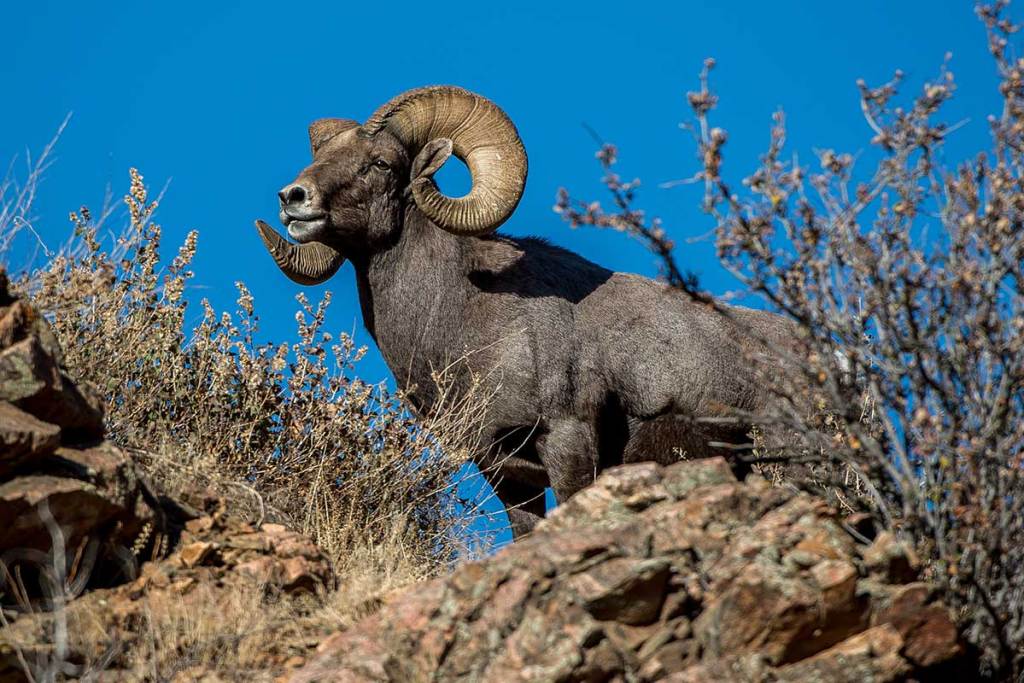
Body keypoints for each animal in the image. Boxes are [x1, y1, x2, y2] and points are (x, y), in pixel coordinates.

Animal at [256, 87, 790, 540]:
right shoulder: (505, 472)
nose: (292, 199)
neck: (466, 317)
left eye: (382, 163)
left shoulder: (567, 440)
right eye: (318, 158)